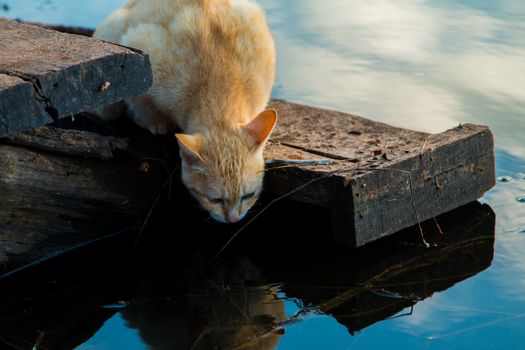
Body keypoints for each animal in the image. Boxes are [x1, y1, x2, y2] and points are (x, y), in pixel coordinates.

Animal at [93, 0, 276, 224]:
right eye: (215, 199)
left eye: (248, 195)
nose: (233, 220)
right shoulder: (138, 61)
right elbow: (140, 103)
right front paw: (154, 121)